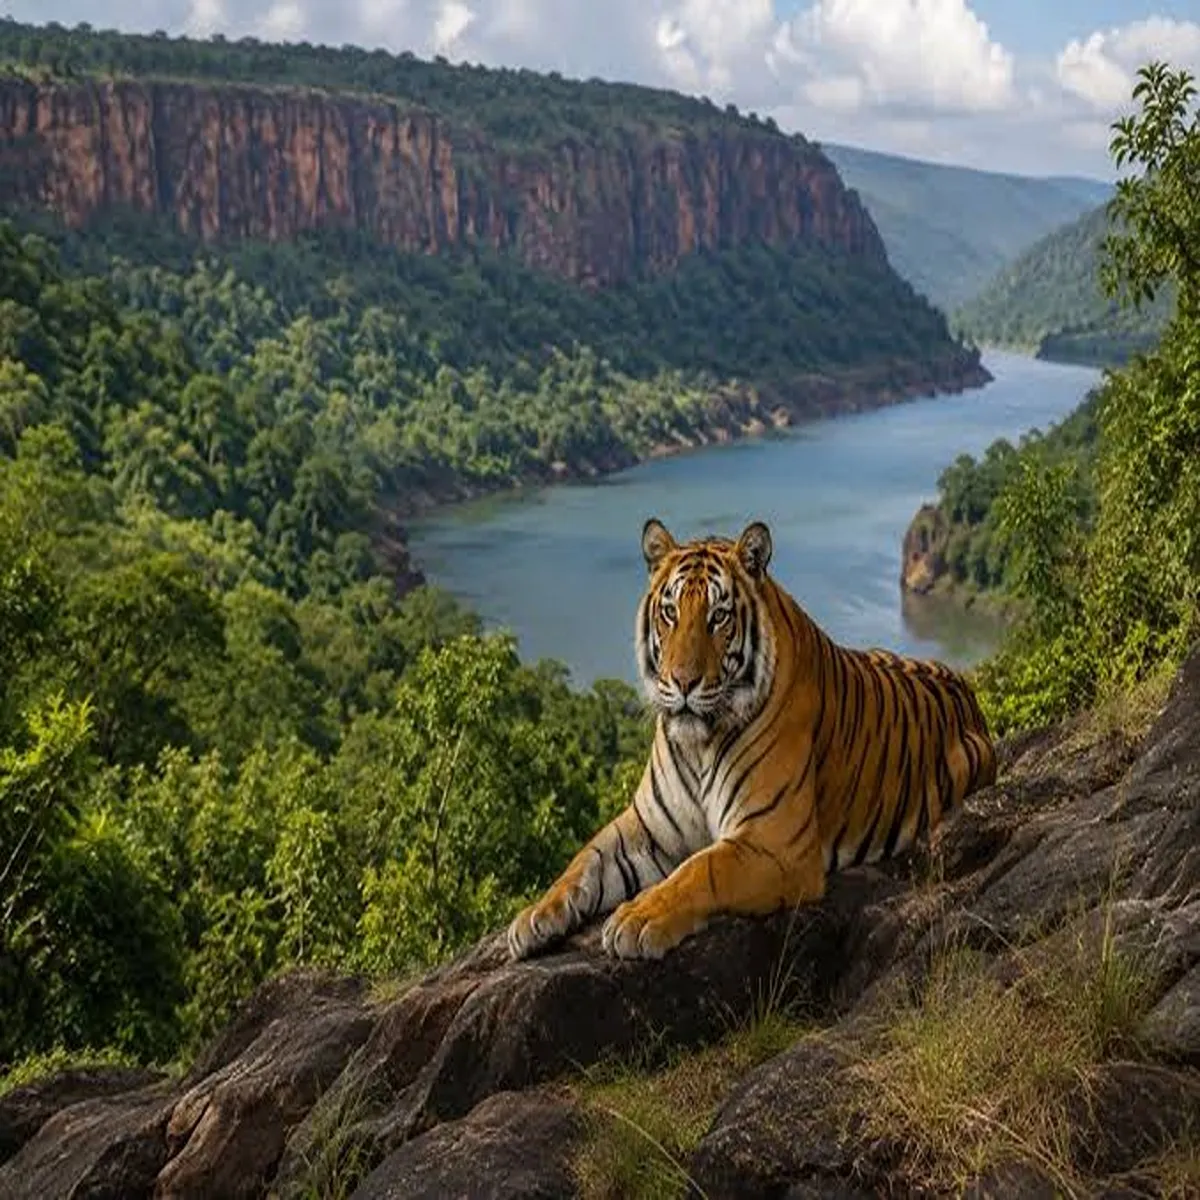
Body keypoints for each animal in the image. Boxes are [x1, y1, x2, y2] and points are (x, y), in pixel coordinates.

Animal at [507, 517, 997, 962]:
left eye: (718, 617)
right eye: (670, 613)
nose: (682, 682)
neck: (698, 743)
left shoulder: (774, 841)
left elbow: (700, 869)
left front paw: (636, 918)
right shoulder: (649, 828)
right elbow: (584, 861)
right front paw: (534, 917)